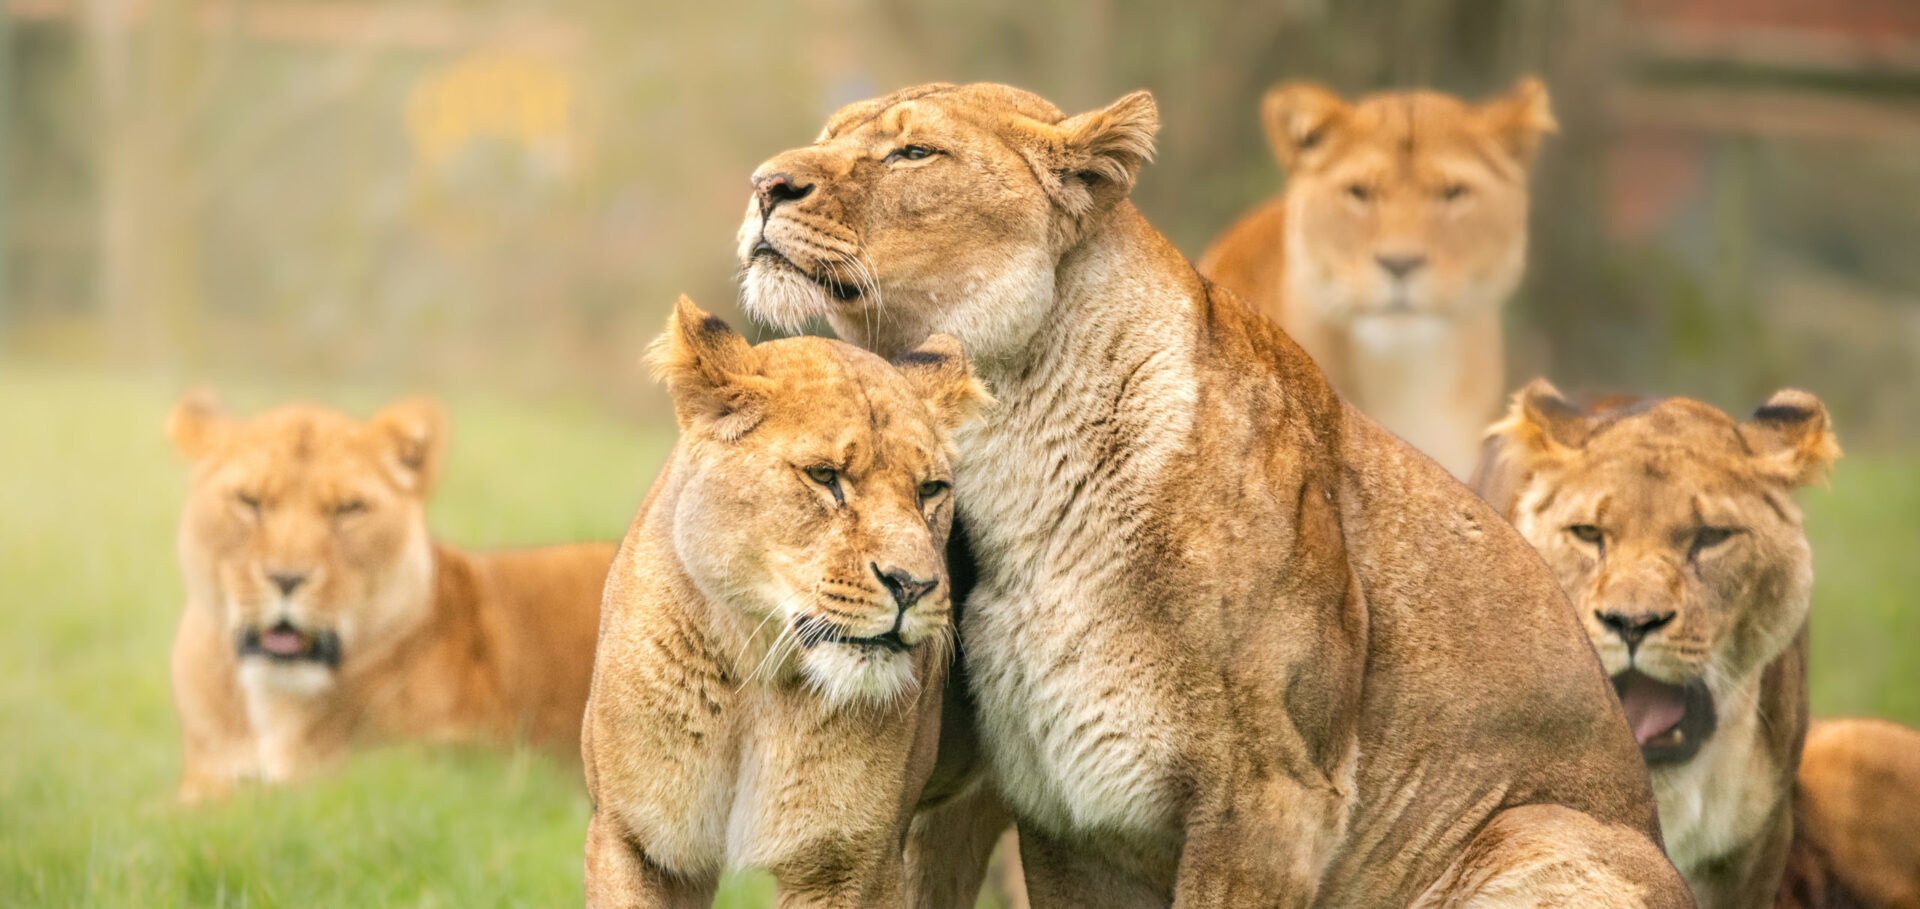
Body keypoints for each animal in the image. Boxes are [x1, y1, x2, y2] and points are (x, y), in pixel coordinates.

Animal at [166, 391, 614, 801]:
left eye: (349, 508)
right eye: (249, 502)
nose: (287, 578)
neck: (275, 700)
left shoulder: (457, 762)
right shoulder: (205, 771)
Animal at [581, 297, 991, 907]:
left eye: (930, 490)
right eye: (825, 476)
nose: (914, 586)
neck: (755, 678)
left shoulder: (852, 862)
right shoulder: (632, 839)